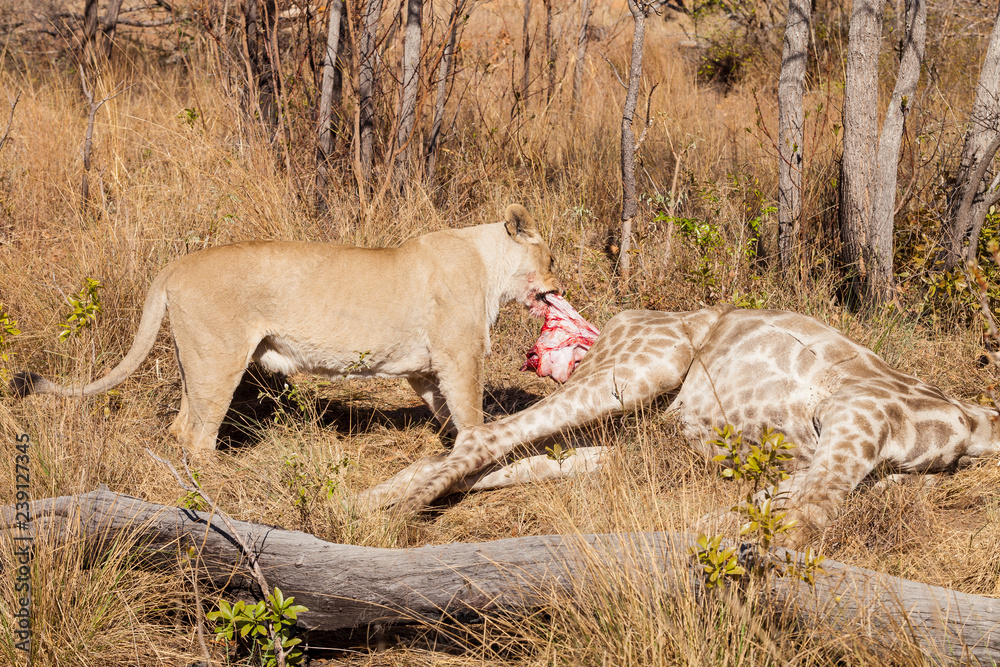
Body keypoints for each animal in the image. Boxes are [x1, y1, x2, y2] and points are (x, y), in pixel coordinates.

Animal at [11, 204, 561, 452]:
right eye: (550, 257)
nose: (560, 283)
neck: (487, 264)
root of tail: (177, 264)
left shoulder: (426, 368)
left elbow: (447, 412)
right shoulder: (459, 355)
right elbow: (472, 416)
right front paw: (482, 458)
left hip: (196, 361)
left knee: (181, 425)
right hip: (220, 358)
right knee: (199, 435)